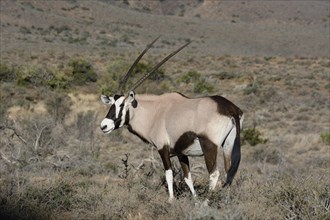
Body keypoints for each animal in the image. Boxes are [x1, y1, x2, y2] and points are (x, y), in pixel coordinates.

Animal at [99, 37, 244, 201]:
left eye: (122, 104)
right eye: (111, 104)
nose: (104, 125)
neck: (154, 112)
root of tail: (230, 109)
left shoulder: (163, 148)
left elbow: (168, 174)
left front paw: (171, 200)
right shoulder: (181, 152)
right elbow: (187, 177)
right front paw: (194, 200)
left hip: (210, 146)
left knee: (214, 174)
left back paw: (206, 202)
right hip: (228, 145)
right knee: (229, 172)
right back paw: (226, 201)